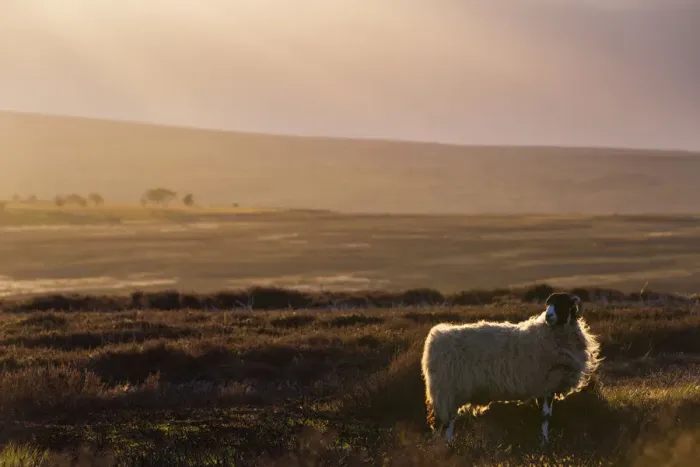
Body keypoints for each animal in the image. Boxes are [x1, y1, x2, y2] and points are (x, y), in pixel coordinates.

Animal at [421, 292, 600, 445]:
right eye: (548, 304)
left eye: (562, 302)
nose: (548, 316)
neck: (549, 333)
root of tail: (436, 337)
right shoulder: (546, 383)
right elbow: (545, 416)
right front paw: (544, 443)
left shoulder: (547, 386)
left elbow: (546, 416)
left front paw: (544, 441)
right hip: (447, 389)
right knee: (447, 421)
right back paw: (448, 445)